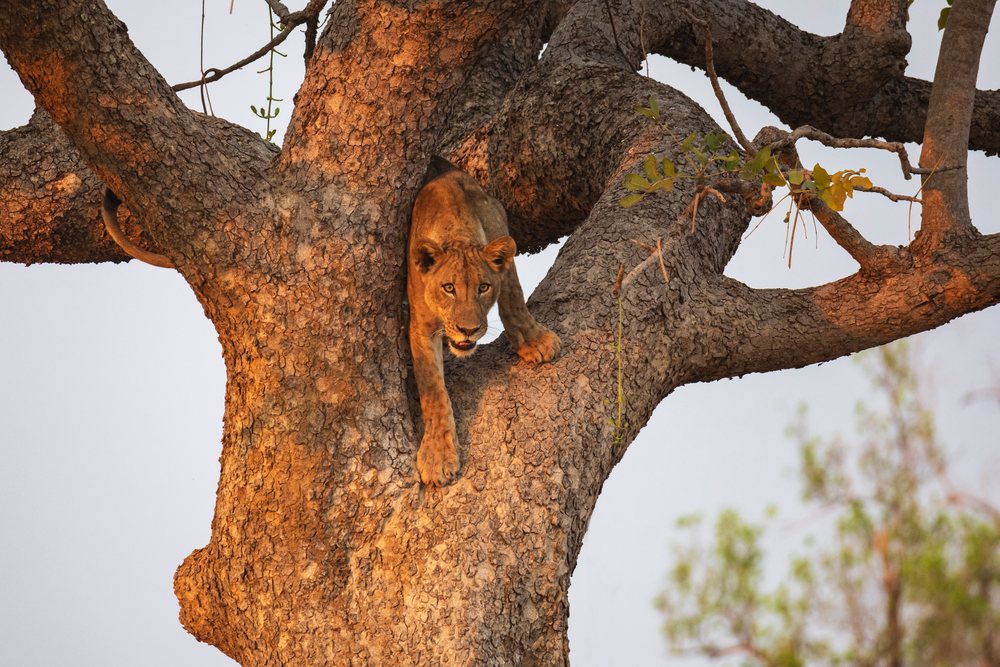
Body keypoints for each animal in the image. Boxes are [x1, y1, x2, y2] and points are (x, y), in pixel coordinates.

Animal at [408, 157, 561, 486]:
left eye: (483, 288)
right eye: (448, 288)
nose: (468, 330)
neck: (457, 232)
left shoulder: (499, 230)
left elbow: (513, 294)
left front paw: (535, 341)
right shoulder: (421, 327)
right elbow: (433, 391)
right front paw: (438, 456)